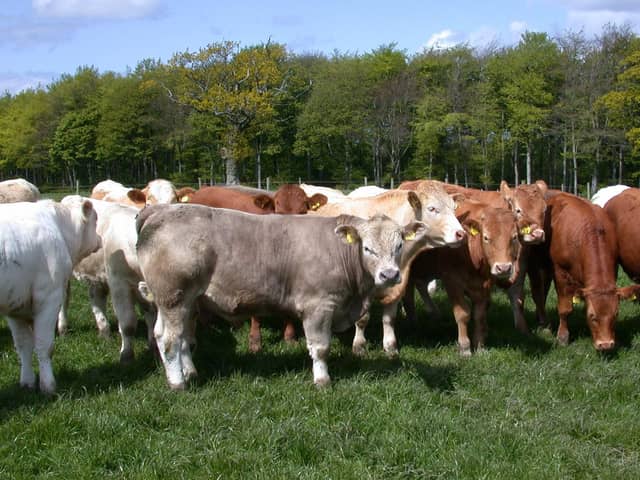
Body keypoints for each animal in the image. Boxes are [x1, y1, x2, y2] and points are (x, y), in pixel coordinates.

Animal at [0, 197, 101, 393]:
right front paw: (48, 386)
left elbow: (23, 345)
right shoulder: (48, 299)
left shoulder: (15, 307)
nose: (100, 239)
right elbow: (44, 345)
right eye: (96, 219)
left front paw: (27, 382)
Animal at [135, 204, 422, 389]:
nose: (389, 274)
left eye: (399, 245)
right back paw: (178, 383)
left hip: (186, 301)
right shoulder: (318, 306)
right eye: (367, 248)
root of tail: (160, 210)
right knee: (169, 340)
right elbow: (320, 348)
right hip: (173, 297)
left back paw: (191, 373)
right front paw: (322, 381)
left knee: (179, 337)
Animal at [312, 184, 466, 356]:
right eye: (432, 208)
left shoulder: (396, 287)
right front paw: (359, 346)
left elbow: (389, 318)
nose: (461, 234)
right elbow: (362, 319)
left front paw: (390, 347)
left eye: (454, 208)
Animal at [406, 199, 521, 355]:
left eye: (514, 237)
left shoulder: (484, 286)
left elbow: (479, 315)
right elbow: (462, 314)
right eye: (486, 237)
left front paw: (480, 346)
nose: (503, 268)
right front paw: (465, 347)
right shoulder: (452, 282)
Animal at [527, 191, 640, 351]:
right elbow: (565, 308)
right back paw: (543, 324)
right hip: (535, 263)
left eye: (616, 315)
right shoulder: (561, 273)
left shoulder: (613, 268)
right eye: (592, 316)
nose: (606, 344)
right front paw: (563, 336)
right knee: (537, 292)